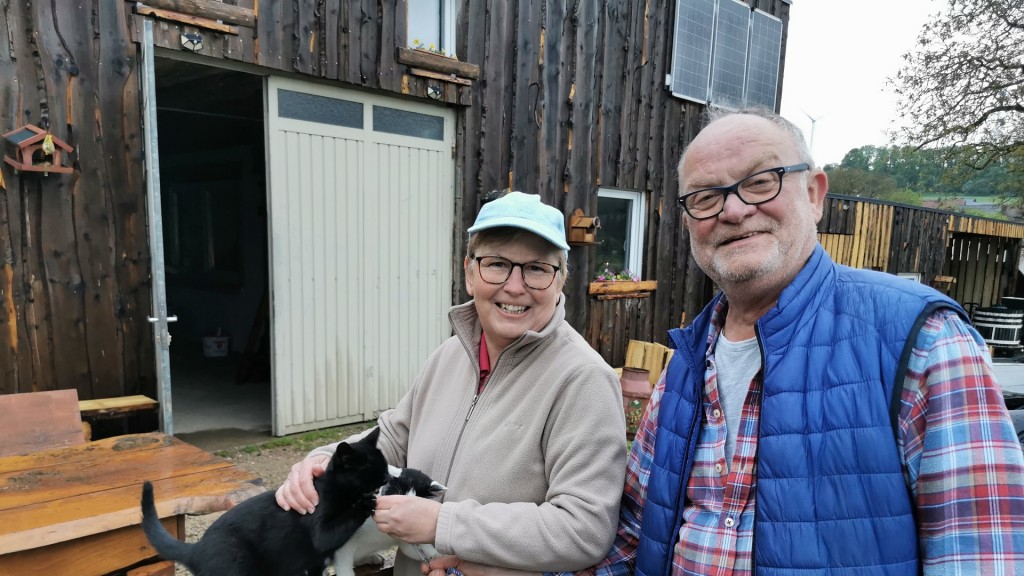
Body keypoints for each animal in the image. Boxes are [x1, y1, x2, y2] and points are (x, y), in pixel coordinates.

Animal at [140, 428, 387, 569]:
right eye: (371, 467)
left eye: (384, 463)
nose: (385, 476)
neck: (338, 489)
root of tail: (197, 549)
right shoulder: (320, 530)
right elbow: (340, 524)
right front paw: (367, 503)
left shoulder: (315, 564)